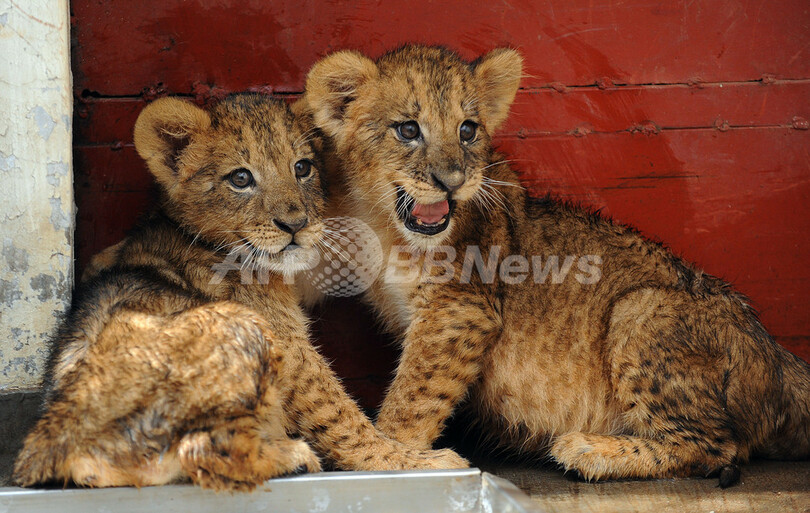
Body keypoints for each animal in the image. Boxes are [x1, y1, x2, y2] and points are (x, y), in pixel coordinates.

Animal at [13, 93, 466, 491]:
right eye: (241, 178)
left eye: (302, 167)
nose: (296, 225)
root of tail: (52, 442)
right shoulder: (285, 345)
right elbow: (336, 412)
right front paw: (407, 460)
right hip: (238, 326)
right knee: (203, 450)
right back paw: (294, 457)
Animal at [299, 45, 810, 486]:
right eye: (408, 130)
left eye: (468, 129)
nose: (454, 181)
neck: (386, 225)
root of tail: (777, 355)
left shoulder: (461, 309)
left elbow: (413, 398)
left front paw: (397, 460)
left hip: (640, 309)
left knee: (715, 446)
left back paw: (589, 451)